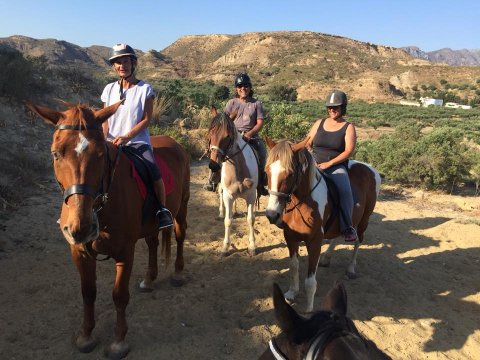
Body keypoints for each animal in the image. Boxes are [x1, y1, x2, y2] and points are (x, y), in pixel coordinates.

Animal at [24, 100, 189, 358]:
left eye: (101, 155)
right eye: (56, 154)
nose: (81, 227)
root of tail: (175, 145)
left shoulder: (125, 252)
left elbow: (119, 295)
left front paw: (119, 341)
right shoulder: (79, 252)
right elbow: (88, 292)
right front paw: (86, 335)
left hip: (182, 207)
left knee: (180, 237)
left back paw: (178, 274)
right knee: (153, 243)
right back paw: (149, 280)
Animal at [206, 107, 258, 256]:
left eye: (228, 136)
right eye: (210, 133)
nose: (214, 166)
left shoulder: (251, 195)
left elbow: (251, 219)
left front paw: (252, 246)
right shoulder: (228, 195)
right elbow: (228, 221)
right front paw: (225, 247)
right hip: (222, 189)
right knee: (220, 194)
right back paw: (221, 212)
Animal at [264, 138, 380, 312]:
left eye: (290, 173)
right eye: (267, 171)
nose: (272, 214)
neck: (303, 203)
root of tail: (370, 168)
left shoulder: (314, 243)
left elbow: (310, 281)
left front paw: (309, 309)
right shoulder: (290, 237)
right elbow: (293, 266)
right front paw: (292, 292)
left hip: (364, 220)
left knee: (358, 241)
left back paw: (351, 268)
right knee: (337, 236)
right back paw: (327, 257)